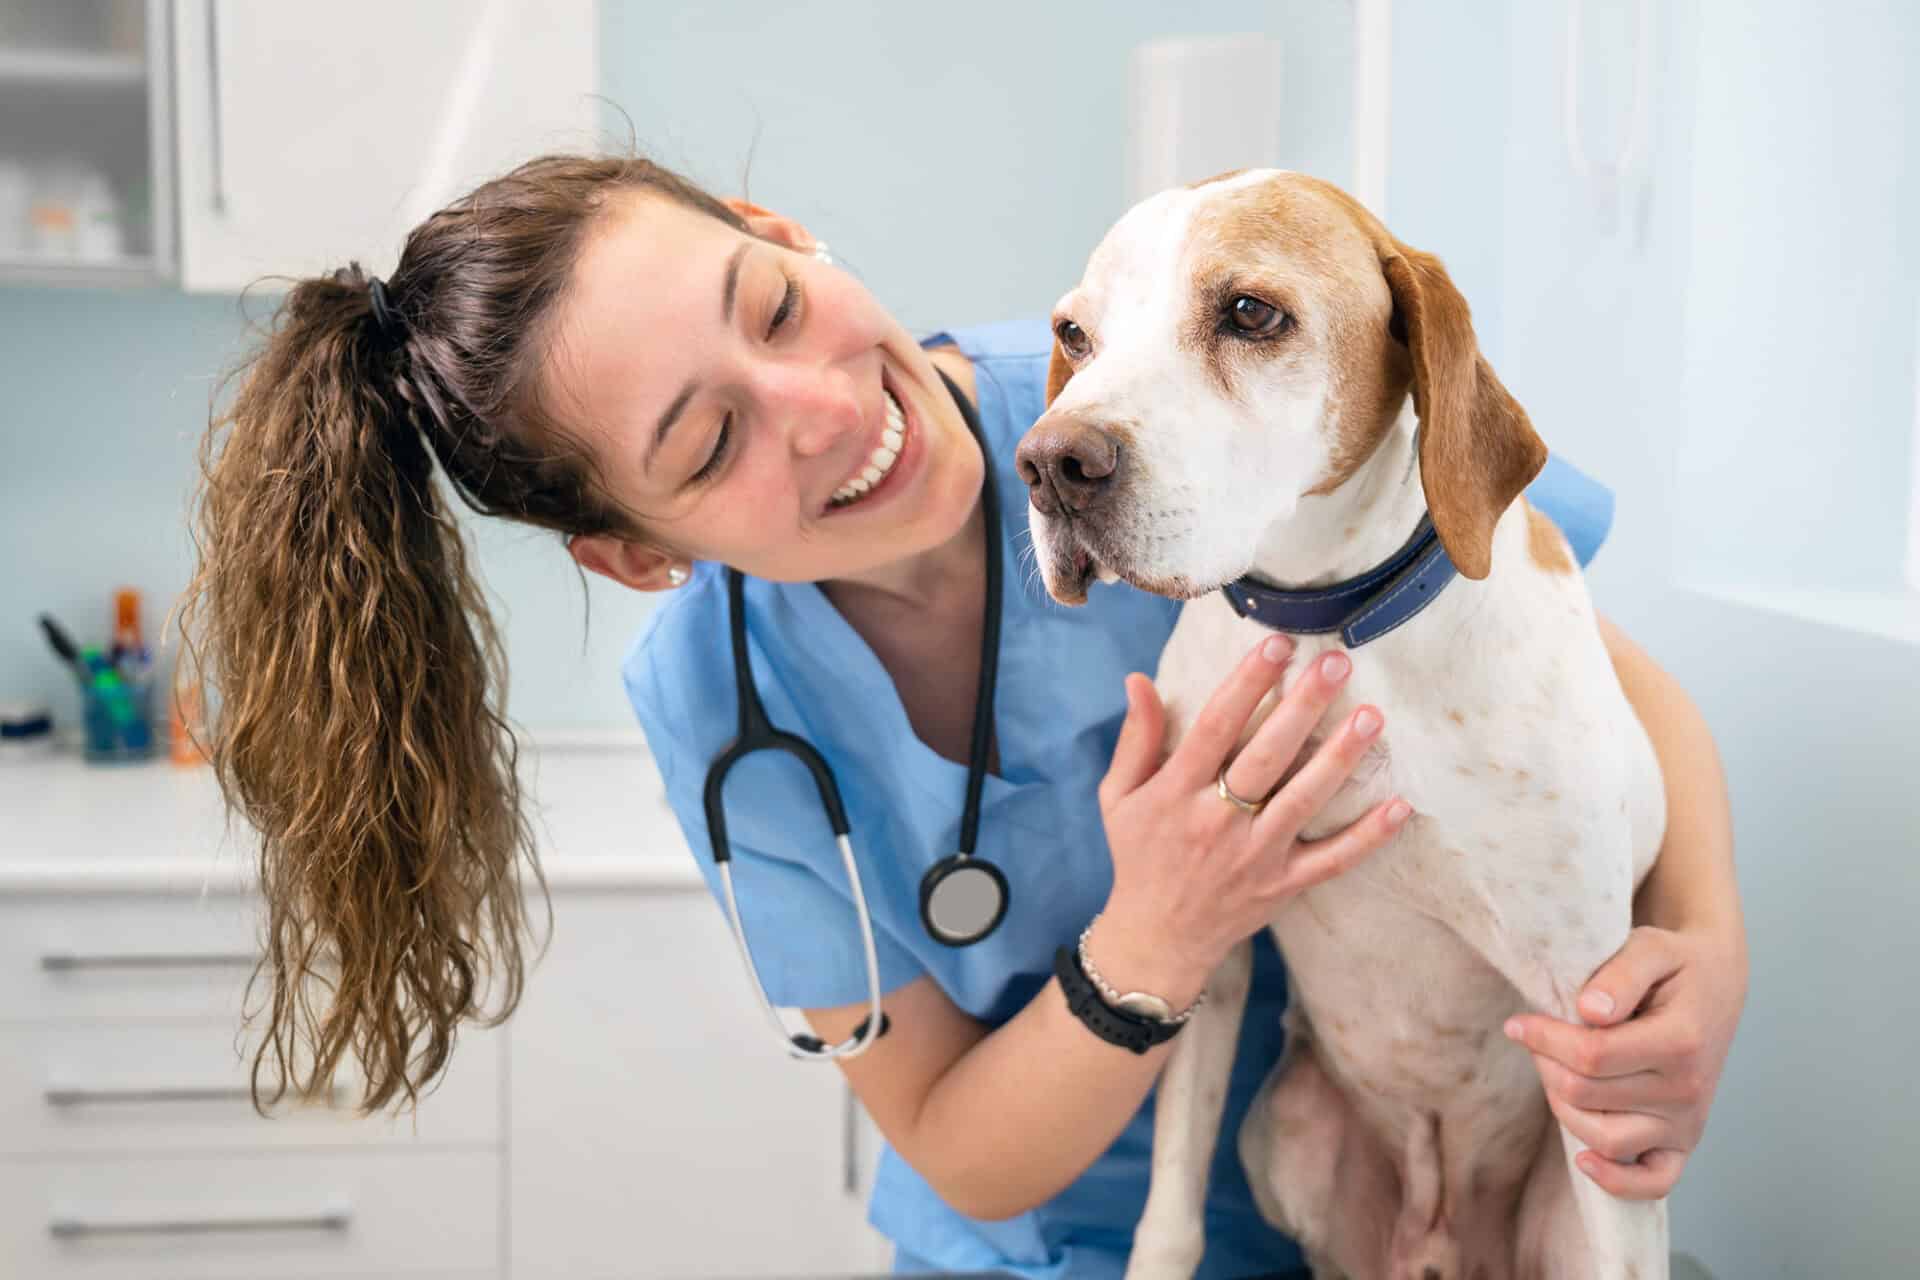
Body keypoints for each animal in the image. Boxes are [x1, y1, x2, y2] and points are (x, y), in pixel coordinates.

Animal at [1021, 172, 1666, 1280]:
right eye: (1075, 332)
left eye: (1249, 312)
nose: (1051, 462)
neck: (1333, 627)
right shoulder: (1208, 950)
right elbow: (1171, 1211)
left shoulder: (1591, 1021)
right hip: (1284, 1129)